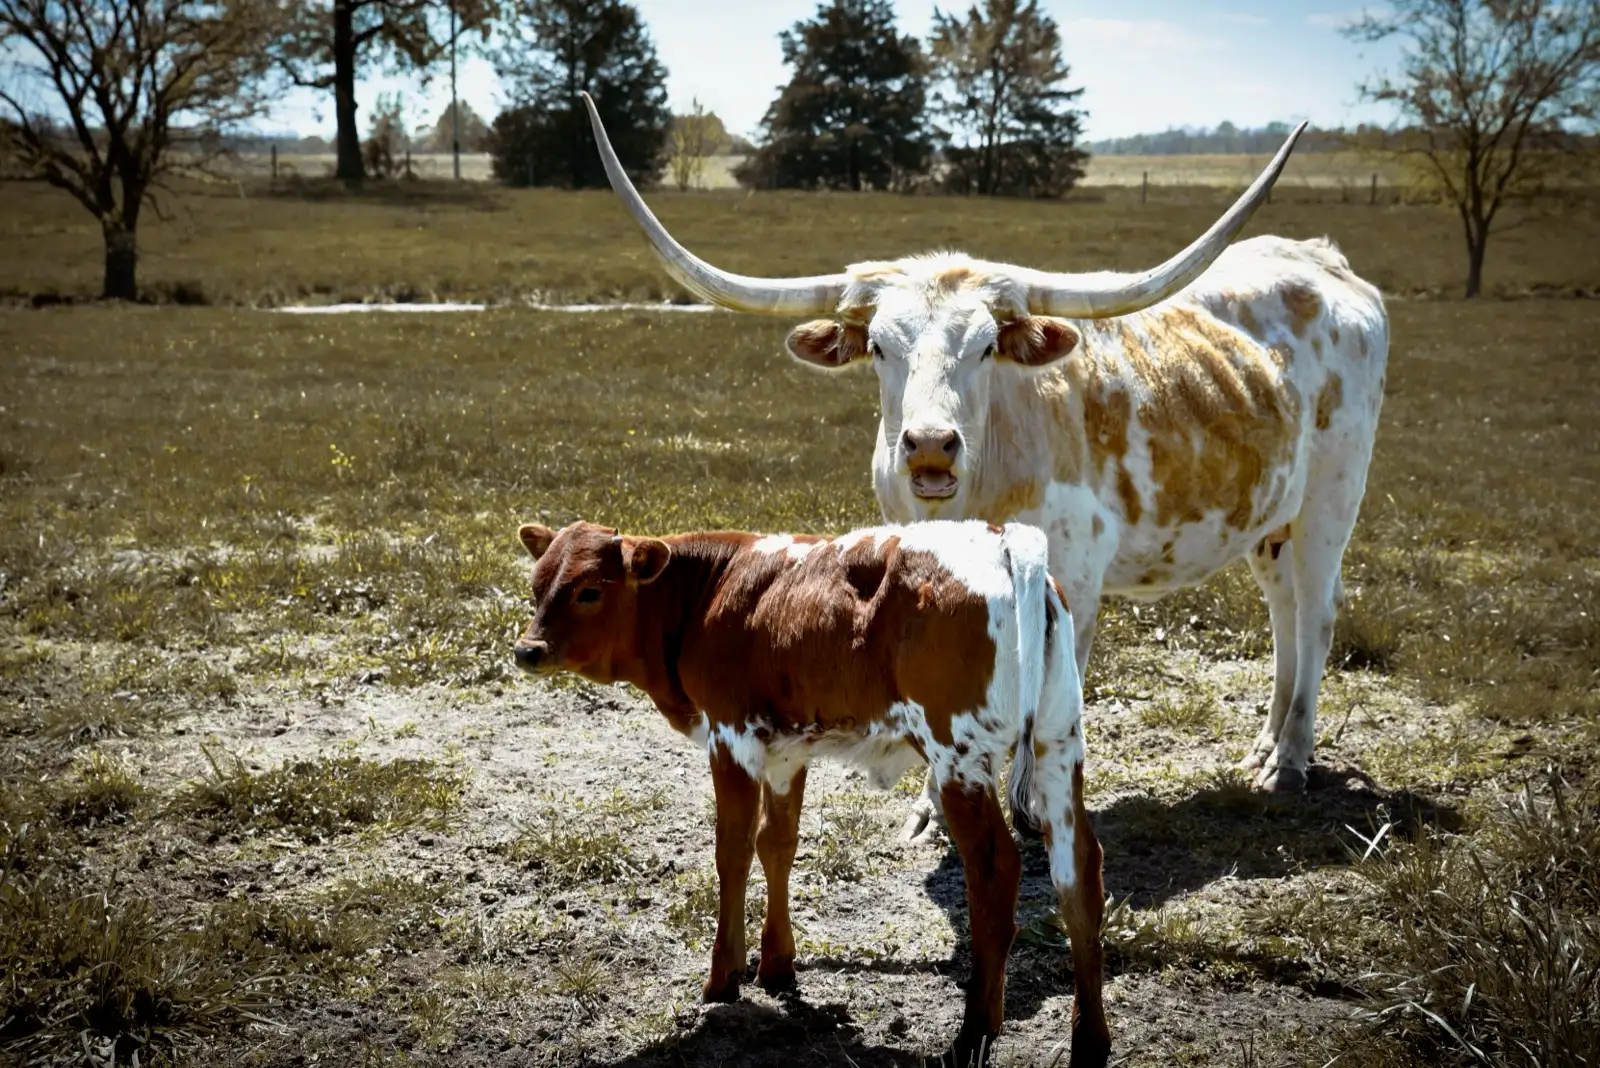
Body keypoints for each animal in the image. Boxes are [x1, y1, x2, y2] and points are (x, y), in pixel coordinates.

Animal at [512, 518, 1109, 1068]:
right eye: (538, 585)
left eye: (590, 590)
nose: (527, 650)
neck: (710, 589)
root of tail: (1001, 538)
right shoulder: (786, 750)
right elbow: (777, 844)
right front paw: (777, 962)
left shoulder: (730, 737)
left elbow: (732, 852)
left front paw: (723, 976)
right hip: (1058, 742)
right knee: (1079, 873)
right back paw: (1090, 1039)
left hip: (957, 754)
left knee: (994, 871)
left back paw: (973, 1035)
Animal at [578, 93, 1390, 824]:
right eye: (880, 346)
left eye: (986, 346)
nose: (931, 444)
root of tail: (1322, 261)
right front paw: (934, 809)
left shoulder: (1075, 582)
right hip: (1272, 518)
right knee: (1284, 614)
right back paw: (1265, 746)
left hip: (1332, 501)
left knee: (1316, 614)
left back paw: (1290, 761)